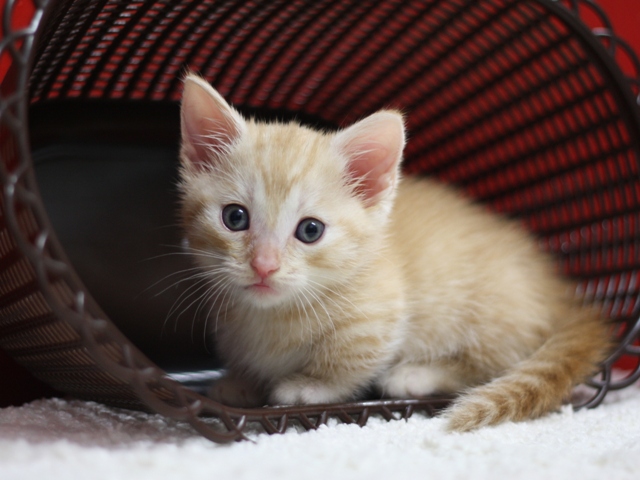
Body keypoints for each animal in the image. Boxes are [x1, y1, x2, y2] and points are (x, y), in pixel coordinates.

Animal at [176, 73, 608, 434]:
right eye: (234, 217)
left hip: (493, 314)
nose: (264, 266)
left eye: (310, 230)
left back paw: (415, 376)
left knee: (498, 362)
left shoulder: (377, 314)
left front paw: (310, 387)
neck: (273, 316)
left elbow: (352, 363)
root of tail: (561, 293)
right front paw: (241, 382)